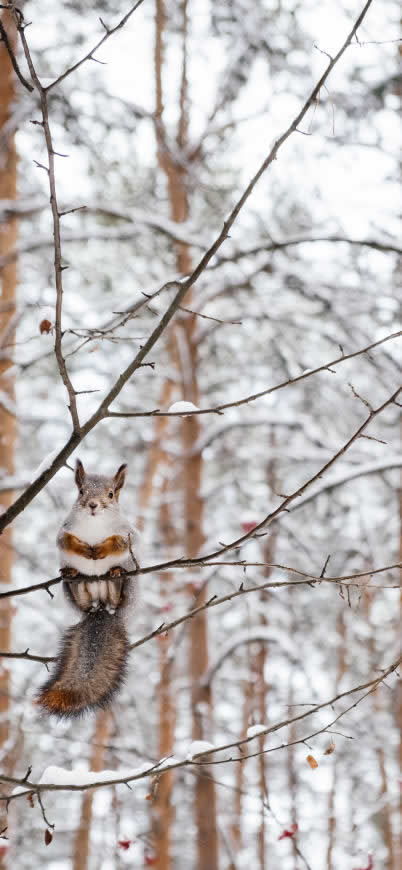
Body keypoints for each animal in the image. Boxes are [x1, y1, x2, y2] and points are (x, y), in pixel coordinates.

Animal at [36, 460, 140, 720]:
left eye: (111, 494)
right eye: (81, 492)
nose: (93, 505)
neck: (95, 525)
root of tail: (101, 608)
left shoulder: (129, 533)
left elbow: (122, 543)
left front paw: (102, 549)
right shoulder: (63, 530)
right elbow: (64, 541)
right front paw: (82, 549)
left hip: (127, 587)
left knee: (117, 588)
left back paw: (115, 574)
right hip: (74, 592)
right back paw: (73, 575)